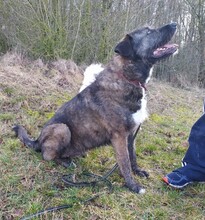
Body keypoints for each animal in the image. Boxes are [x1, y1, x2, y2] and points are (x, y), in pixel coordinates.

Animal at [14, 23, 178, 193]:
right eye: (148, 31)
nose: (174, 24)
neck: (126, 78)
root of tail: (37, 140)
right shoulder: (119, 136)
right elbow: (125, 162)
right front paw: (132, 185)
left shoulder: (131, 134)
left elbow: (132, 156)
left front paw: (137, 171)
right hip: (61, 128)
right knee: (47, 155)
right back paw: (64, 162)